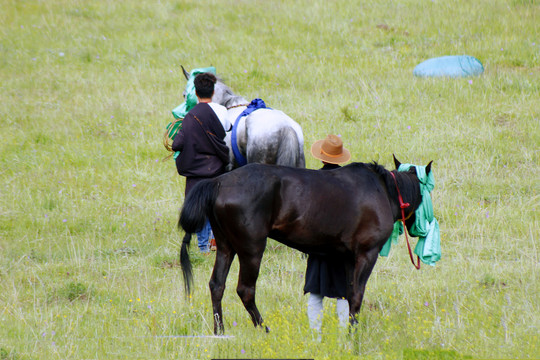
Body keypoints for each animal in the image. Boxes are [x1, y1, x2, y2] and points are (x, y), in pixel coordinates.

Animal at [179, 158, 432, 334]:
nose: (418, 229)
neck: (383, 190)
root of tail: (218, 181)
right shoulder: (366, 253)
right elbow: (357, 295)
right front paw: (353, 334)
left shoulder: (348, 258)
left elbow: (348, 294)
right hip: (251, 250)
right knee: (245, 290)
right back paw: (264, 329)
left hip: (225, 246)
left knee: (217, 285)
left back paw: (219, 331)